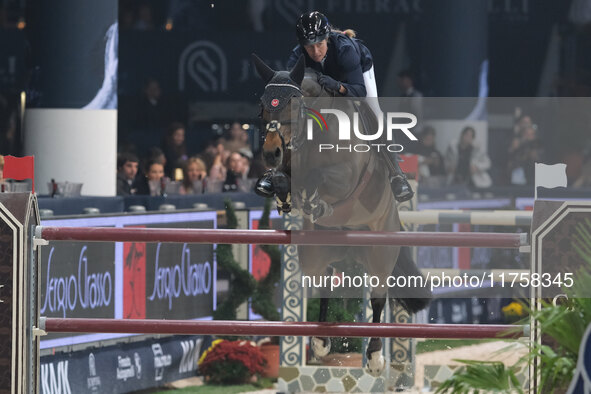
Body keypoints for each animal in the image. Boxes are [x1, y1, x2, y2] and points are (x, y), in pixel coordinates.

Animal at [251, 53, 430, 376]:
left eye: (292, 103)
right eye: (262, 103)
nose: (270, 153)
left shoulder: (343, 177)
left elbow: (320, 179)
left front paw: (312, 199)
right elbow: (286, 180)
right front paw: (282, 191)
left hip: (380, 253)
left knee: (377, 297)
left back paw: (374, 357)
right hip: (316, 253)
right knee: (323, 283)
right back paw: (321, 341)